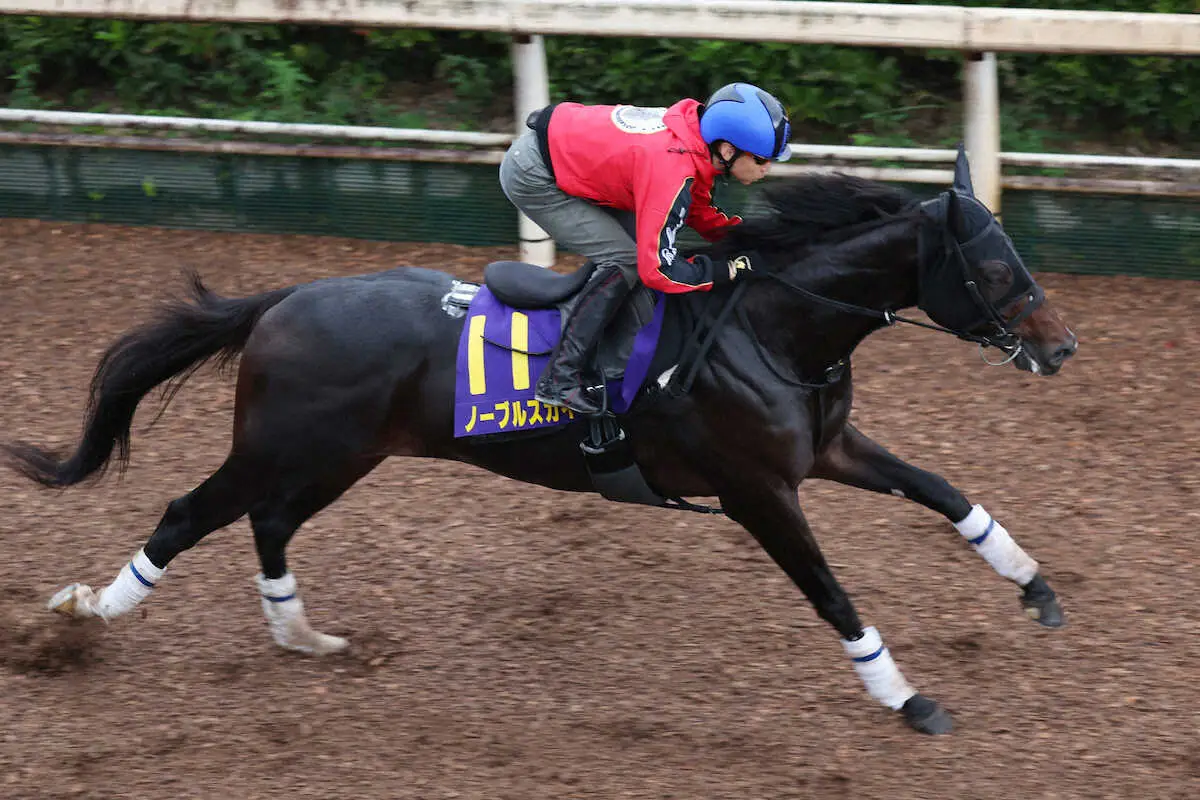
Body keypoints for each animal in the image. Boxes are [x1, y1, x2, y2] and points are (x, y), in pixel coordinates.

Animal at [4, 146, 1080, 734]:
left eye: (1021, 256)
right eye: (993, 267)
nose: (1060, 345)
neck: (772, 324)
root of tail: (284, 299)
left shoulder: (823, 451)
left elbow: (945, 491)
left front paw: (1034, 585)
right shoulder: (756, 490)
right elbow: (833, 594)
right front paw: (907, 697)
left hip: (339, 454)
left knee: (267, 523)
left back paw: (301, 633)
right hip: (286, 445)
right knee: (188, 512)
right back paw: (86, 612)